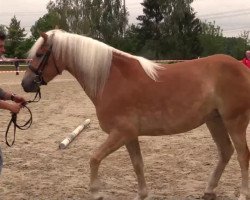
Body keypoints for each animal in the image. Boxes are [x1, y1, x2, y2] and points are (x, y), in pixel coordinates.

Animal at [21, 28, 250, 199]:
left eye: (40, 55)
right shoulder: (129, 136)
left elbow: (94, 158)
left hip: (234, 122)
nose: (26, 84)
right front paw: (142, 194)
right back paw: (209, 190)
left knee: (242, 155)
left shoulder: (121, 133)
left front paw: (96, 192)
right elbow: (137, 165)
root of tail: (242, 69)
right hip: (214, 120)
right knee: (225, 152)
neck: (111, 79)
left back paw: (242, 194)